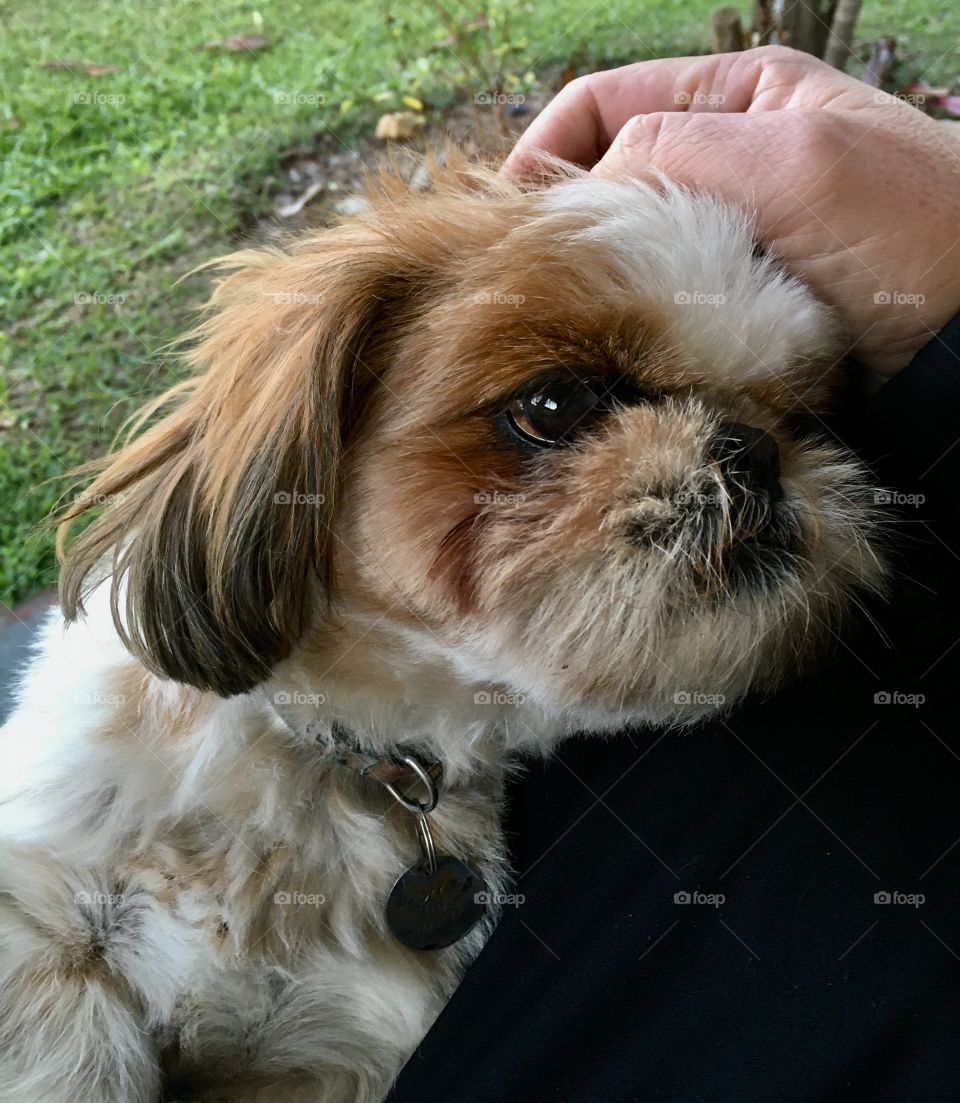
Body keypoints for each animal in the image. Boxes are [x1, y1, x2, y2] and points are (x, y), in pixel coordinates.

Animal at [0, 157, 887, 1103]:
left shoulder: (343, 1056)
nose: (753, 445)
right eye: (553, 404)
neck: (342, 754)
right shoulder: (40, 913)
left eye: (806, 418)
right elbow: (70, 1038)